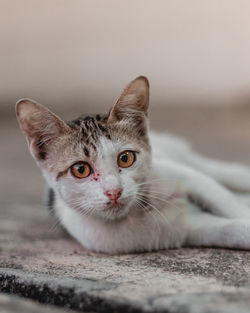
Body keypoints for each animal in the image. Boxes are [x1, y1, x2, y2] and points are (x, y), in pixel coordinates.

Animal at [15, 75, 250, 254]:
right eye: (80, 170)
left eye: (125, 158)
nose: (114, 192)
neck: (140, 210)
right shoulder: (186, 228)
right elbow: (230, 229)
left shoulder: (188, 177)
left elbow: (225, 201)